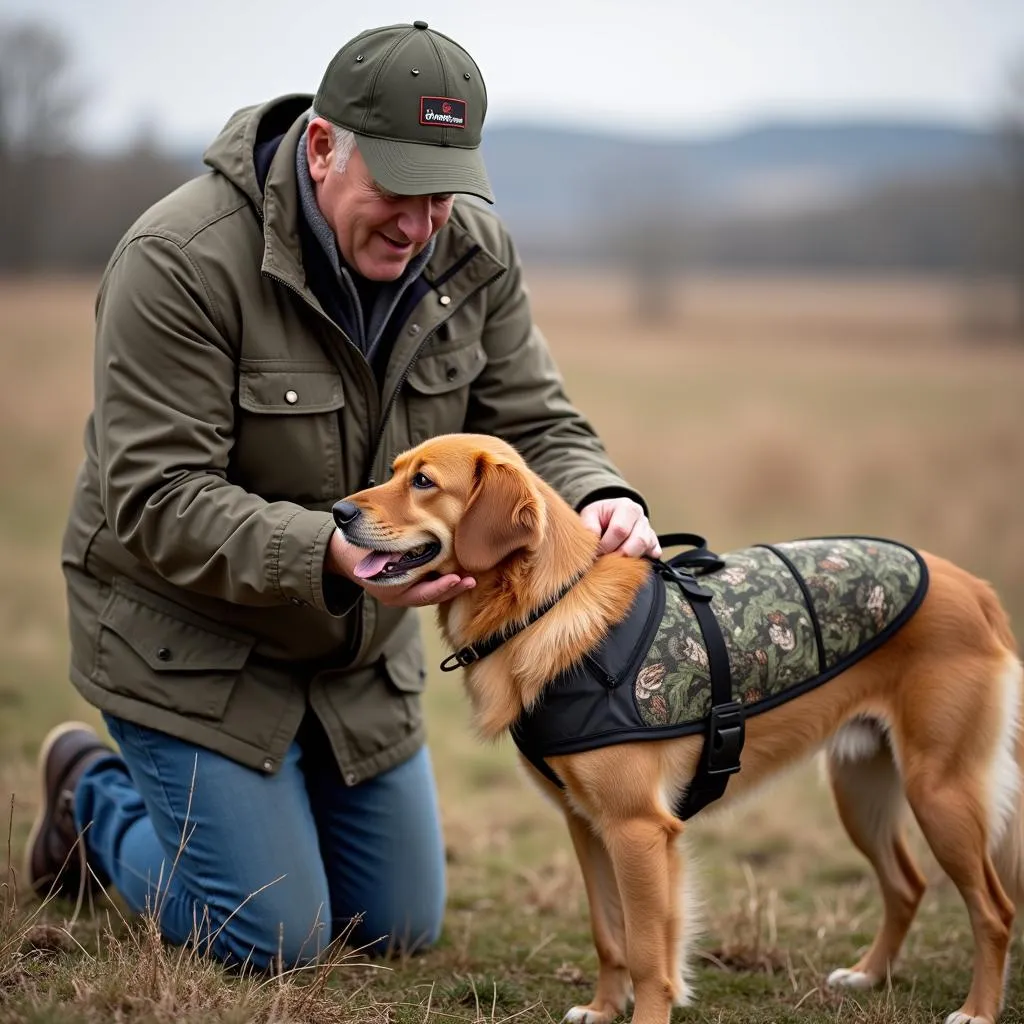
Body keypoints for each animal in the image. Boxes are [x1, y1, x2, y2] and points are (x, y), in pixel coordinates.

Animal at [333, 432, 1015, 1024]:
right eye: (394, 471)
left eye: (423, 482)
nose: (337, 512)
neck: (548, 606)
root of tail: (973, 586)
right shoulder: (588, 824)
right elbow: (609, 934)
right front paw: (603, 1009)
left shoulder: (638, 829)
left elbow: (645, 952)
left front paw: (643, 1015)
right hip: (861, 788)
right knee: (906, 884)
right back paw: (869, 975)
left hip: (939, 791)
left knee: (994, 909)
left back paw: (978, 1010)